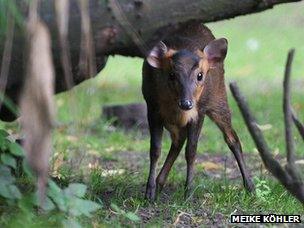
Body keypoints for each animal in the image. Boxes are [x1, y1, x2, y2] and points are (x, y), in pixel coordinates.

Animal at [142, 22, 254, 201]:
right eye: (171, 75)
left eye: (200, 75)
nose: (186, 103)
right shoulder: (152, 108)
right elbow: (155, 150)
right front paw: (149, 192)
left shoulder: (199, 112)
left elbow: (192, 150)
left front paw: (188, 192)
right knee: (178, 140)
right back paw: (160, 183)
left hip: (218, 98)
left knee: (232, 138)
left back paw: (250, 187)